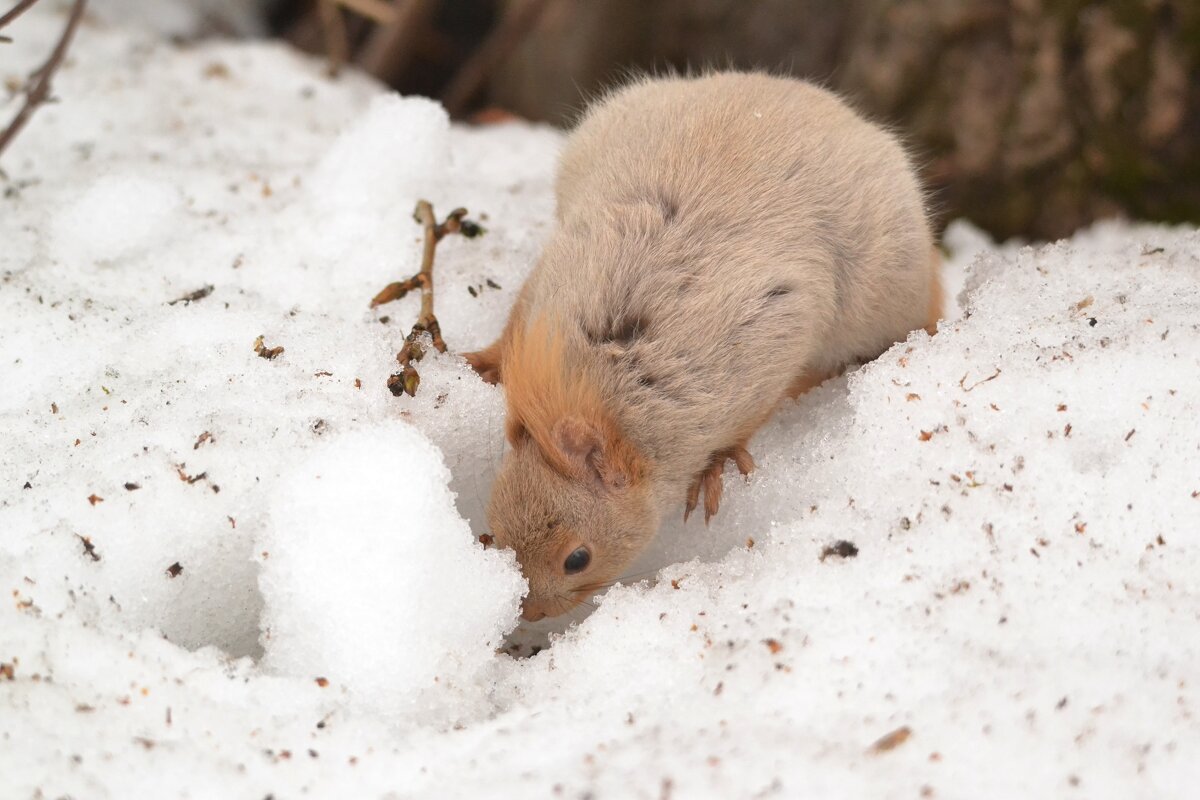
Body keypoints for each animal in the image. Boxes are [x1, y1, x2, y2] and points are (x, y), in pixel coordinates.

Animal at [463, 71, 940, 618]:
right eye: (495, 529)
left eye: (577, 559)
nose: (532, 613)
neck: (610, 382)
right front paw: (486, 361)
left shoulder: (774, 329)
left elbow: (748, 419)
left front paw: (716, 465)